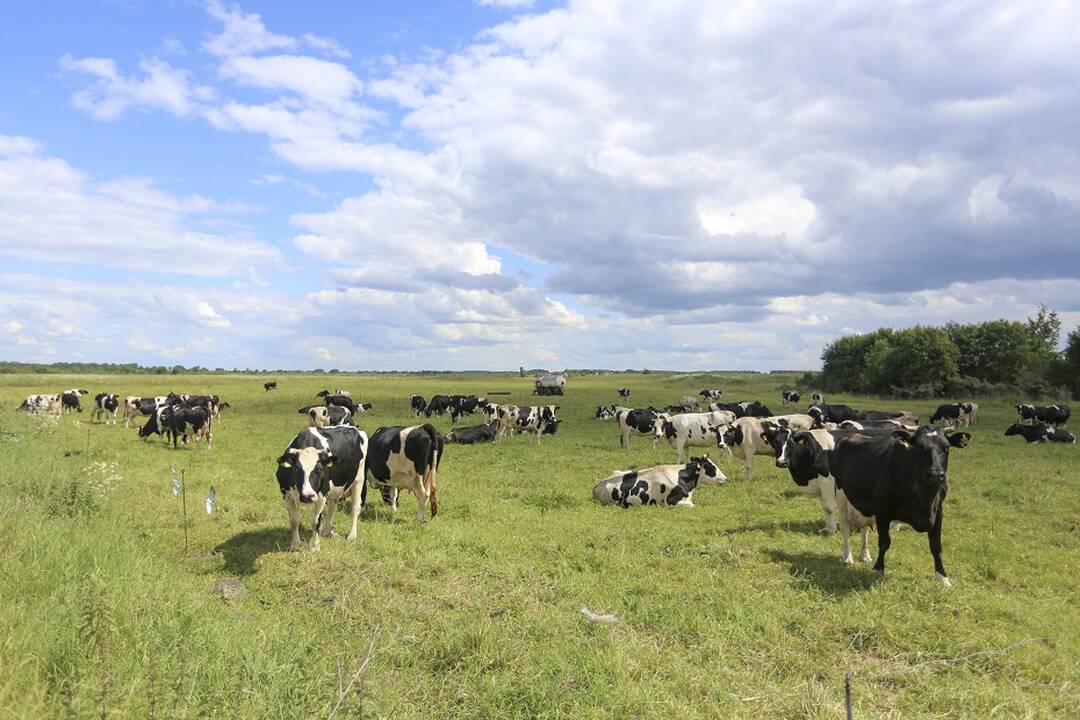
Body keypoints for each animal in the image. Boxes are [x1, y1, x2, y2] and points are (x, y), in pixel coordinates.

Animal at [825, 427, 972, 587]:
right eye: (919, 447)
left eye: (946, 448)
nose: (935, 474)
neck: (924, 498)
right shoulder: (882, 510)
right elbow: (884, 542)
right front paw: (878, 570)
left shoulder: (937, 511)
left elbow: (936, 546)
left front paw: (943, 577)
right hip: (841, 497)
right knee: (845, 528)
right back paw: (847, 558)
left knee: (864, 530)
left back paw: (865, 555)